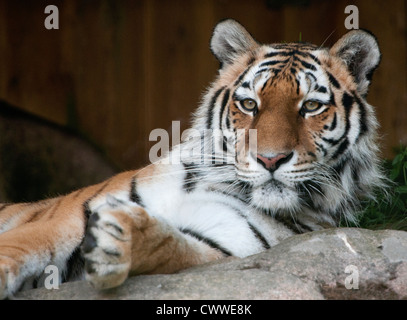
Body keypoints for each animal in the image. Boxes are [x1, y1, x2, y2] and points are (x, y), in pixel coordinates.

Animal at [0, 19, 386, 300]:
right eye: (249, 104)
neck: (217, 183)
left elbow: (169, 246)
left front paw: (118, 238)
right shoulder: (62, 220)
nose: (270, 159)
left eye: (311, 106)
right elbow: (18, 246)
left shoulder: (222, 247)